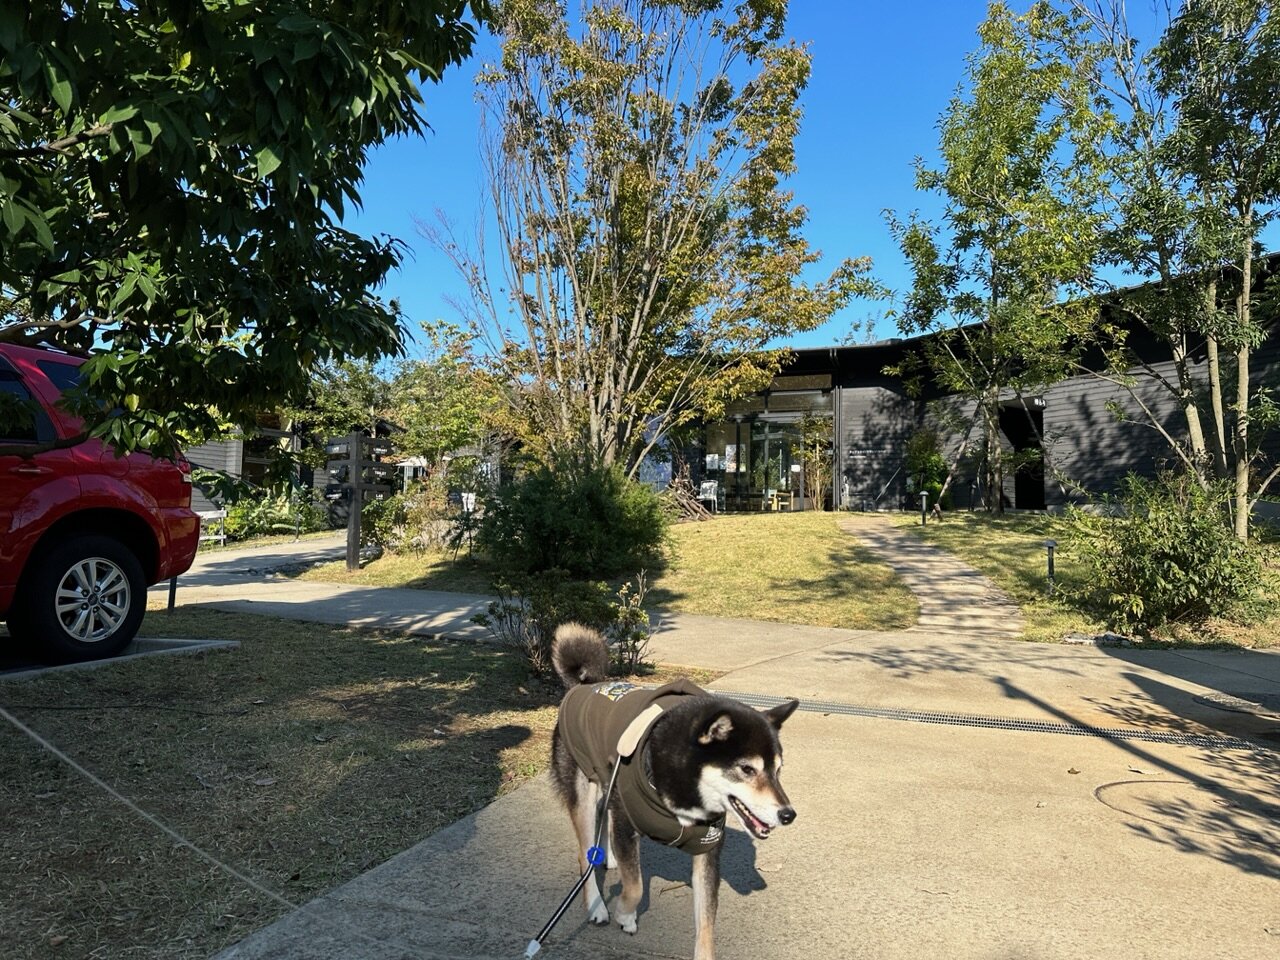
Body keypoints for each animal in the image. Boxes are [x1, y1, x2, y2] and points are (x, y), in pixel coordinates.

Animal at [550, 624, 798, 960]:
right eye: (747, 769)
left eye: (778, 770)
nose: (788, 814)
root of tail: (585, 684)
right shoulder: (628, 823)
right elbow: (636, 885)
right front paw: (625, 915)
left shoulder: (707, 850)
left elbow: (706, 921)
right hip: (583, 788)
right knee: (584, 850)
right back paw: (597, 905)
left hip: (608, 781)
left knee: (605, 817)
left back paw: (607, 857)